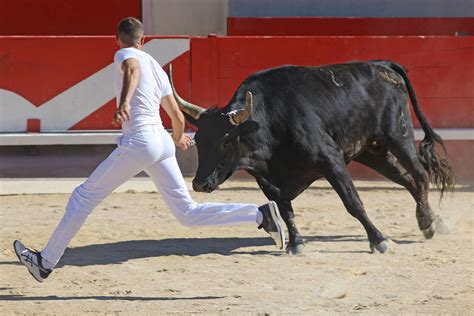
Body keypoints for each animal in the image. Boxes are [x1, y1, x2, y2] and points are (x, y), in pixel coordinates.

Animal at [168, 61, 454, 254]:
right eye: (198, 141)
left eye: (226, 140)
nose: (199, 184)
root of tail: (382, 64)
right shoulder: (267, 178)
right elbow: (285, 209)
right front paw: (296, 243)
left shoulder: (330, 159)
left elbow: (352, 201)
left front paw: (379, 240)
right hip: (372, 151)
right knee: (408, 180)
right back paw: (429, 222)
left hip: (397, 134)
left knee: (420, 174)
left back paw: (428, 223)